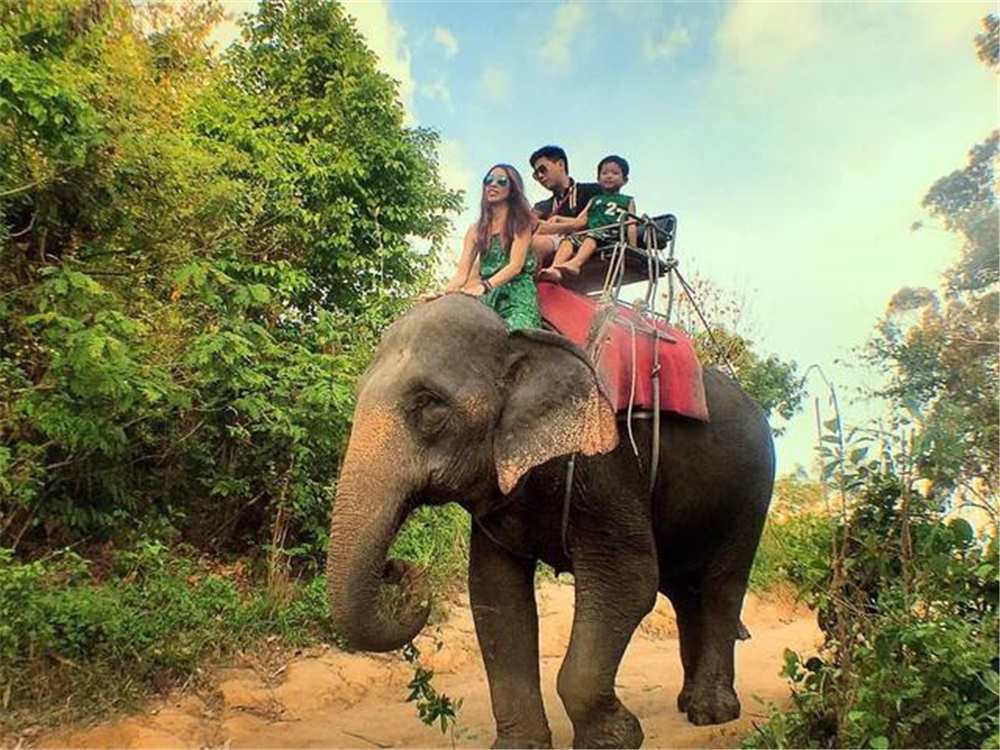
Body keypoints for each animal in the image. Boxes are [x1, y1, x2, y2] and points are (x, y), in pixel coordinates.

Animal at [324, 296, 776, 750]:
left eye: (430, 405)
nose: (394, 566)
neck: (518, 336)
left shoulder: (606, 465)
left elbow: (629, 580)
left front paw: (615, 740)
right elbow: (496, 594)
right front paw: (520, 746)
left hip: (753, 493)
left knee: (722, 586)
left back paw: (711, 712)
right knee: (685, 592)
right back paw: (688, 703)